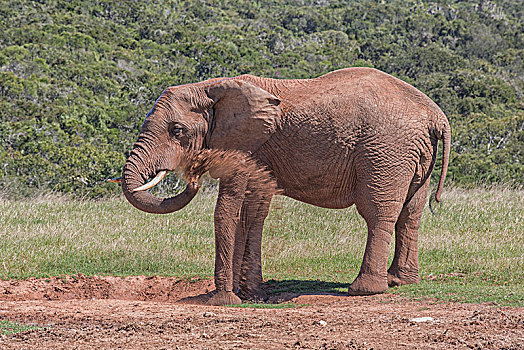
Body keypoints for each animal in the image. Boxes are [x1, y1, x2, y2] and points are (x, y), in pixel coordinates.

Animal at [119, 67, 450, 304]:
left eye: (177, 131)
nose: (194, 174)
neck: (213, 87)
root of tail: (436, 116)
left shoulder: (244, 147)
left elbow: (228, 208)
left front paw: (223, 300)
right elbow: (253, 212)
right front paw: (251, 295)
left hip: (385, 151)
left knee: (378, 212)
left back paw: (365, 289)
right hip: (414, 155)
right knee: (411, 213)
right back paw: (400, 281)